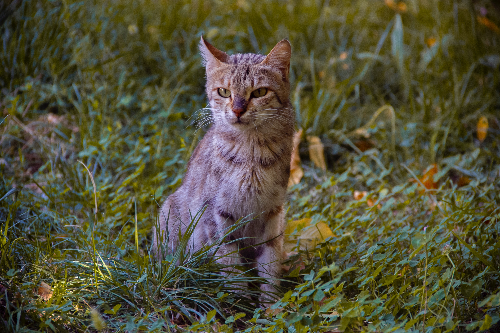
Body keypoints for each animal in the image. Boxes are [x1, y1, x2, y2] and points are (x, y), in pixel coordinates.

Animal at [151, 35, 292, 300]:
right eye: (224, 92)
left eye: (259, 92)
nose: (237, 110)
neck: (251, 154)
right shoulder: (215, 216)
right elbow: (231, 267)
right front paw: (240, 303)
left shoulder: (272, 214)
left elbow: (269, 264)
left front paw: (271, 303)